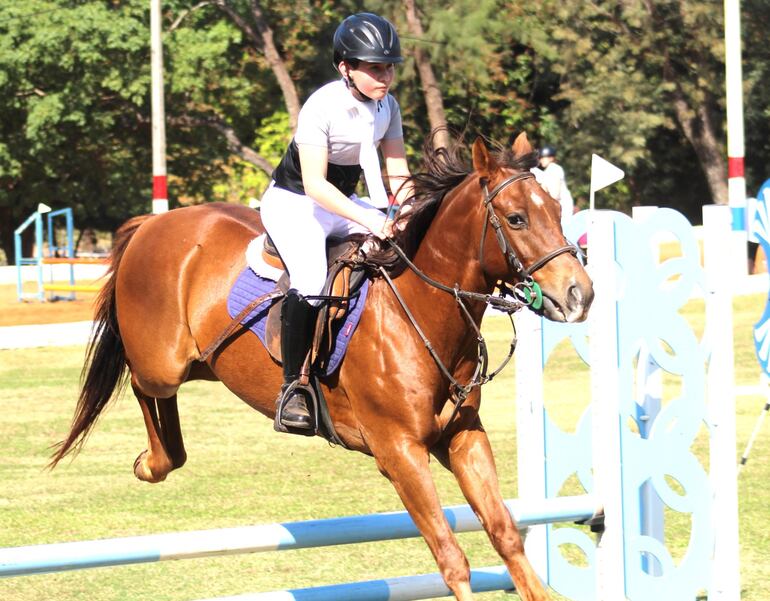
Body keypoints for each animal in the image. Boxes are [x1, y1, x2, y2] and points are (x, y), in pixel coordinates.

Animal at [51, 134, 592, 596]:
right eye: (517, 219)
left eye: (557, 210)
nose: (579, 295)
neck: (417, 310)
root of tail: (152, 223)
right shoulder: (400, 452)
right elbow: (450, 557)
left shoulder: (462, 436)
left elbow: (506, 534)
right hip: (161, 363)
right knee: (144, 387)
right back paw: (153, 462)